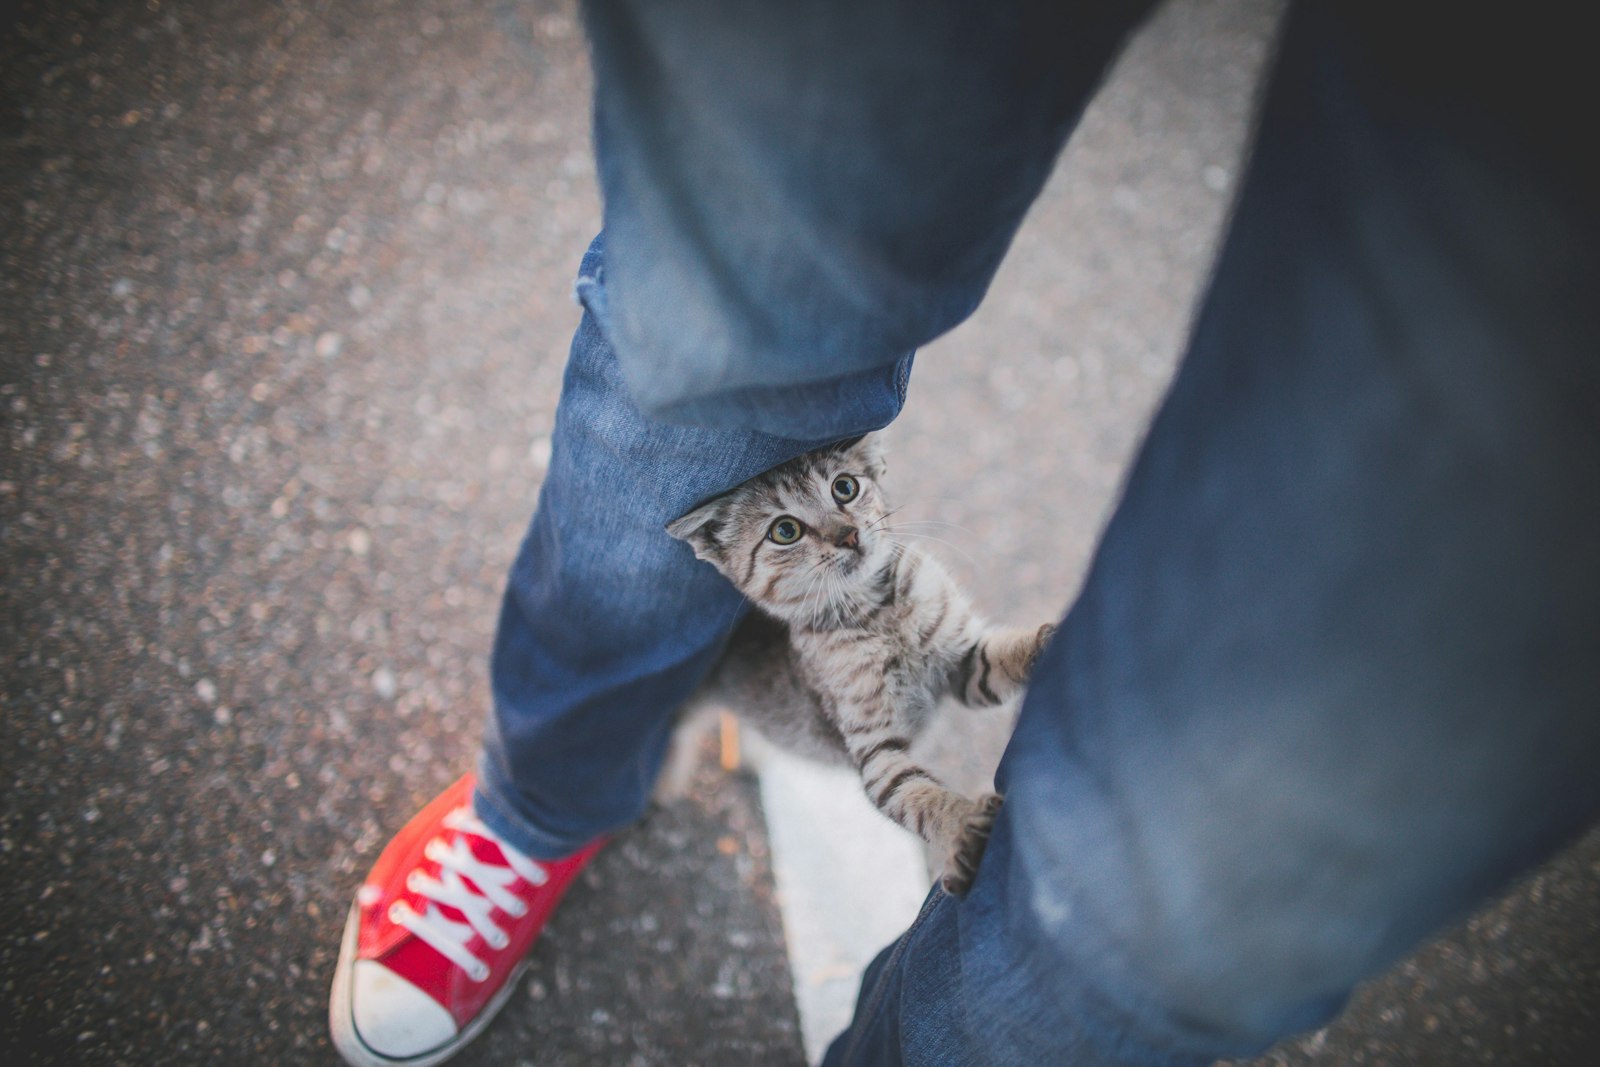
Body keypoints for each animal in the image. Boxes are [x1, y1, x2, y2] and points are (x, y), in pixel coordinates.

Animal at [662, 431, 1049, 895]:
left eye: (844, 488)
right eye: (785, 531)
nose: (847, 534)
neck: (878, 612)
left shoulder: (968, 667)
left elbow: (1003, 658)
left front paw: (1050, 640)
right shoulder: (875, 753)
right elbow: (919, 797)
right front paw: (961, 827)